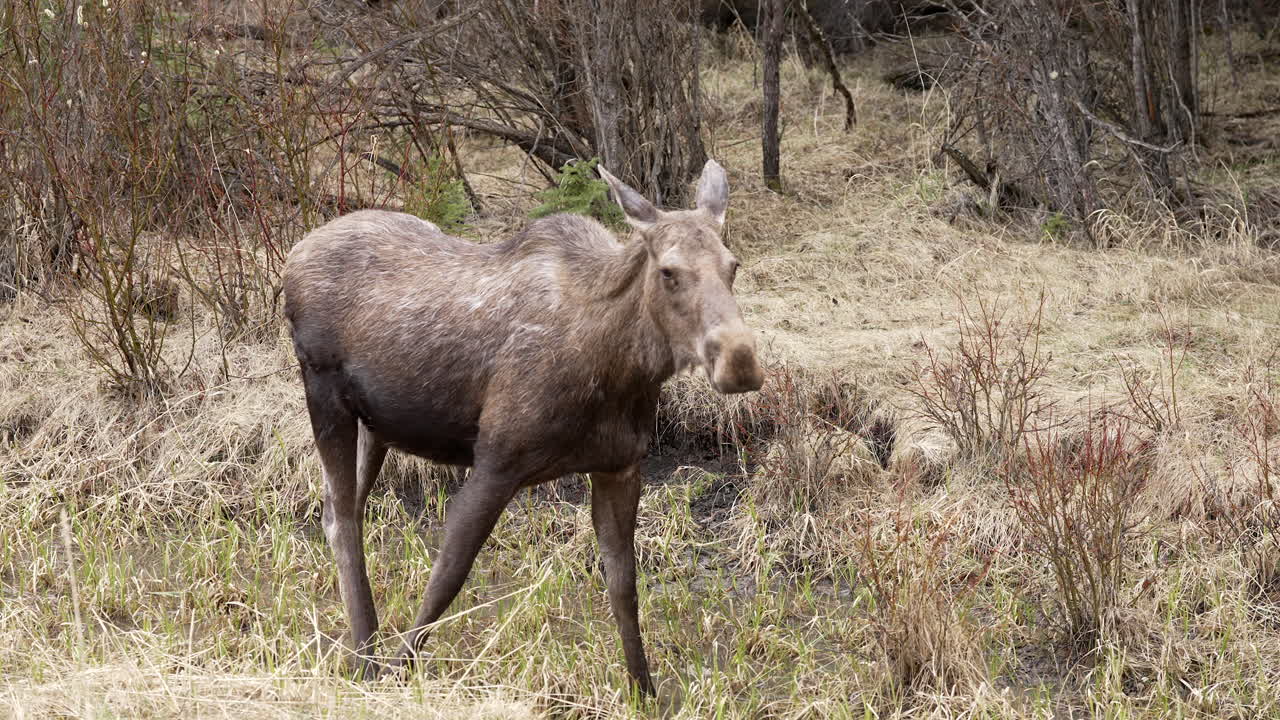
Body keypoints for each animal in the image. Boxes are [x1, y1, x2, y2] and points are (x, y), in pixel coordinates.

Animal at [281, 160, 763, 694]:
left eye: (733, 265)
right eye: (668, 272)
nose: (740, 360)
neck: (618, 367)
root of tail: (292, 257)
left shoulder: (620, 466)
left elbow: (624, 588)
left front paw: (645, 694)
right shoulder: (497, 461)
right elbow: (448, 576)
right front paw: (397, 673)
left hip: (376, 423)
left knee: (340, 508)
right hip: (323, 392)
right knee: (341, 517)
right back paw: (367, 656)